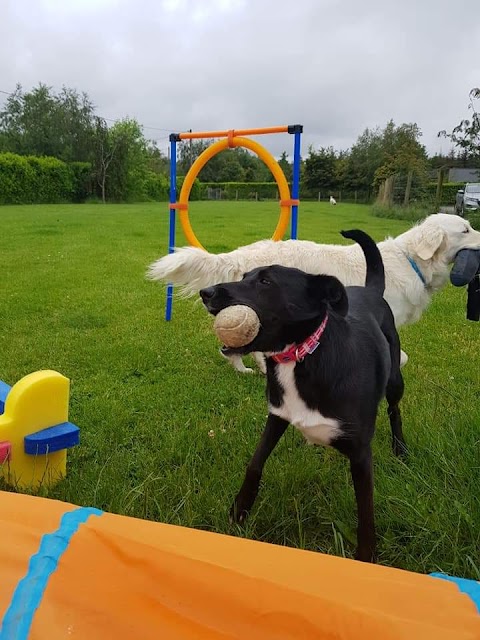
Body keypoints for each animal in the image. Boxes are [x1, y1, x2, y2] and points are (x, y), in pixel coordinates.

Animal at [199, 229, 404, 560]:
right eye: (244, 276)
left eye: (265, 282)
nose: (206, 292)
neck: (300, 354)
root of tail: (370, 291)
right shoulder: (278, 414)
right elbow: (255, 463)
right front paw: (239, 512)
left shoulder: (360, 451)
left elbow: (366, 510)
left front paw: (366, 557)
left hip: (395, 379)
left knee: (395, 409)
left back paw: (401, 451)